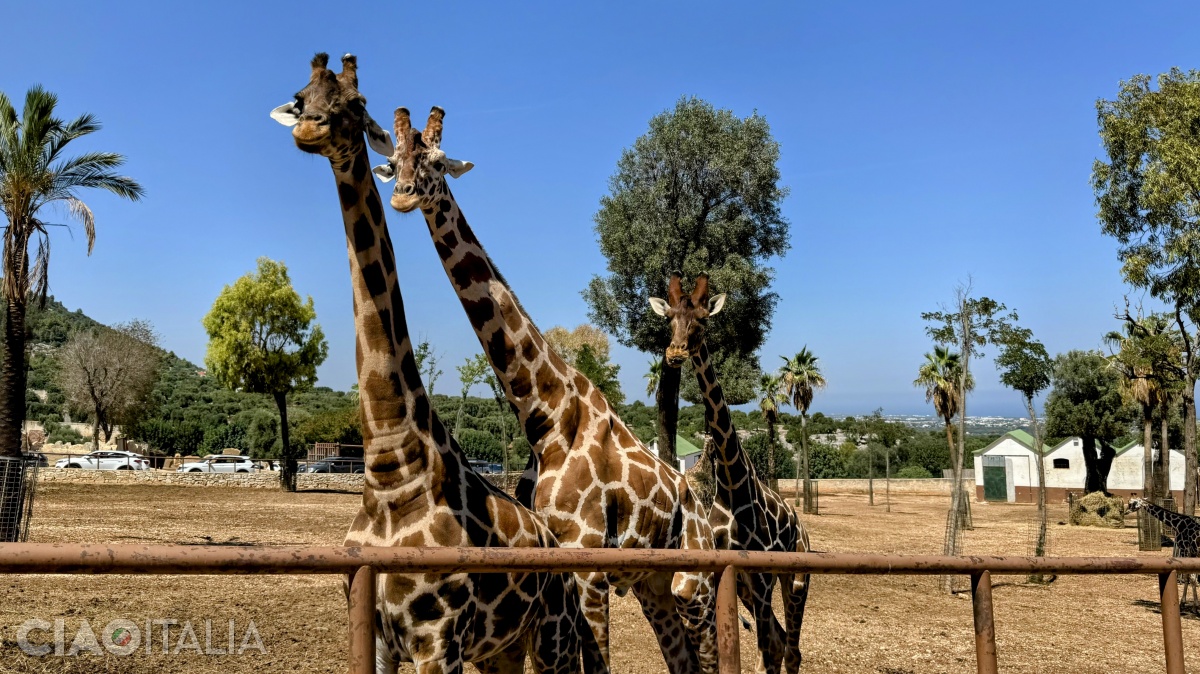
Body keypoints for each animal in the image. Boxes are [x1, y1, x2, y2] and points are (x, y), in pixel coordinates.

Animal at [269, 53, 580, 674]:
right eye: (302, 94)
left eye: (356, 103)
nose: (310, 128)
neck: (390, 475)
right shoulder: (375, 631)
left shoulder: (438, 639)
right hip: (502, 648)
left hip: (552, 636)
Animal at [371, 106, 717, 674]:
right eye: (394, 160)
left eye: (438, 161)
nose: (402, 194)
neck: (546, 417)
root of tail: (700, 503)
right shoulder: (555, 559)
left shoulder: (587, 561)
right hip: (653, 583)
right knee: (682, 659)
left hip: (695, 582)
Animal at [650, 272, 811, 674]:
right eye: (670, 318)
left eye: (702, 320)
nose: (675, 354)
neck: (732, 483)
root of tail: (800, 524)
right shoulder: (727, 572)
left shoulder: (763, 577)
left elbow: (767, 651)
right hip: (753, 589)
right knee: (780, 641)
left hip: (796, 580)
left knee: (789, 648)